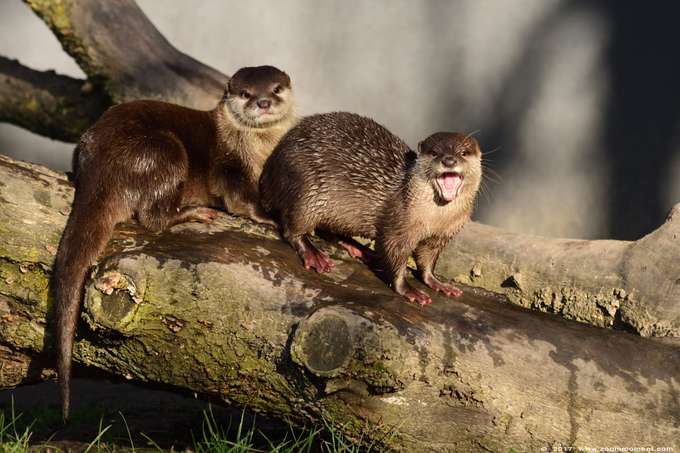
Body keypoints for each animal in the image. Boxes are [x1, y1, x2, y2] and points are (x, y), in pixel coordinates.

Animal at [54, 65, 296, 421]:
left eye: (277, 88)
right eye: (246, 93)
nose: (263, 102)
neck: (258, 151)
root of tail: (99, 165)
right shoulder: (231, 167)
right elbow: (242, 201)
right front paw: (272, 219)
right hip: (163, 152)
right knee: (154, 217)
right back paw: (193, 213)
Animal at [260, 112, 482, 305]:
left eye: (463, 153)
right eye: (435, 152)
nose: (449, 160)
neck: (434, 219)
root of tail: (270, 167)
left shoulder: (441, 236)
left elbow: (427, 261)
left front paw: (438, 283)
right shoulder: (398, 227)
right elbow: (392, 255)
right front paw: (409, 290)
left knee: (326, 229)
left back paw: (356, 247)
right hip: (307, 189)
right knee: (292, 227)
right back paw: (314, 255)